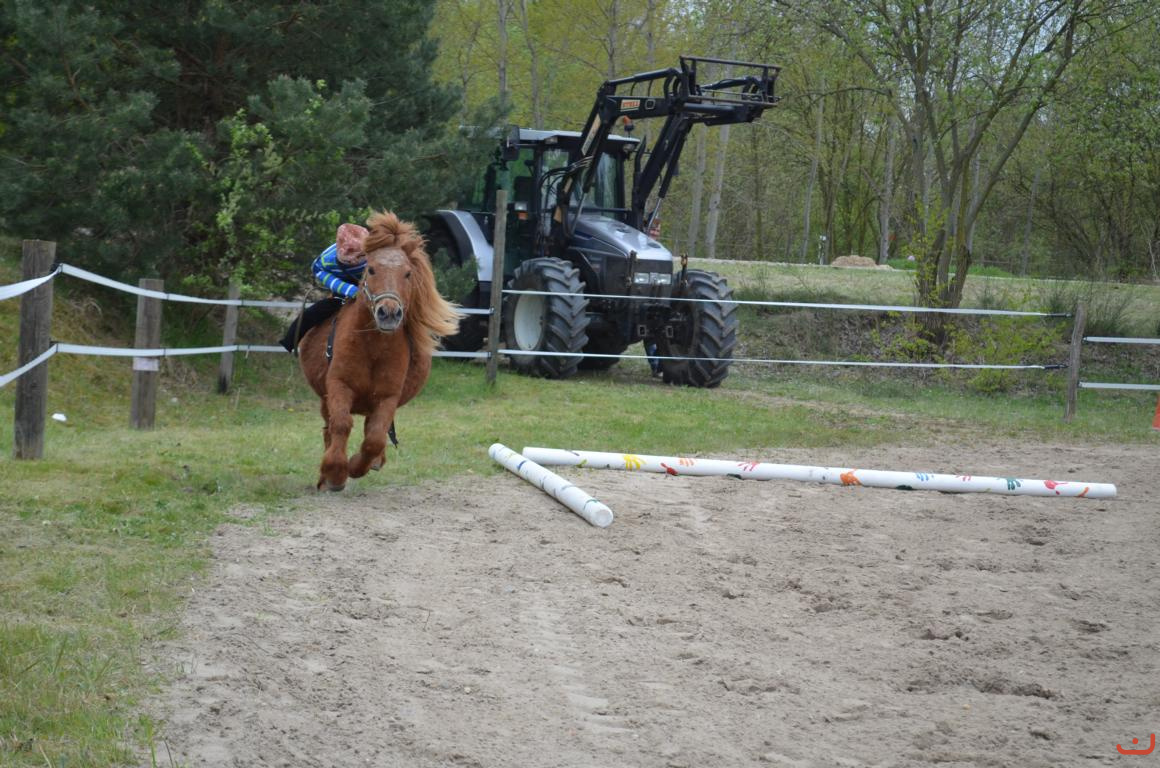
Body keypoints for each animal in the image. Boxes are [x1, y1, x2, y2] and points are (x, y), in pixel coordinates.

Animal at [298, 211, 462, 491]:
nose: (389, 312)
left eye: (407, 273)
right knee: (329, 427)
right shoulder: (339, 385)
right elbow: (341, 424)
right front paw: (334, 472)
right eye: (371, 269)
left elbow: (375, 436)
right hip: (325, 397)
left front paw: (356, 466)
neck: (373, 348)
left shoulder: (387, 396)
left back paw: (373, 461)